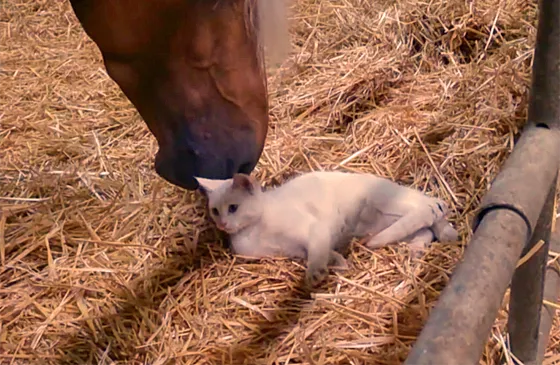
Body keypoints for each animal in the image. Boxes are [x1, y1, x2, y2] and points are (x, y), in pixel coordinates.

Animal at [197, 171, 460, 288]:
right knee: (426, 229)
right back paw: (417, 249)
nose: (222, 224)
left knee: (429, 210)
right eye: (215, 210)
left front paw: (315, 273)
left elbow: (316, 253)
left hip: (385, 205)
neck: (250, 233)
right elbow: (322, 253)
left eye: (233, 208)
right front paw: (338, 263)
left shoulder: (314, 229)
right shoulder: (296, 250)